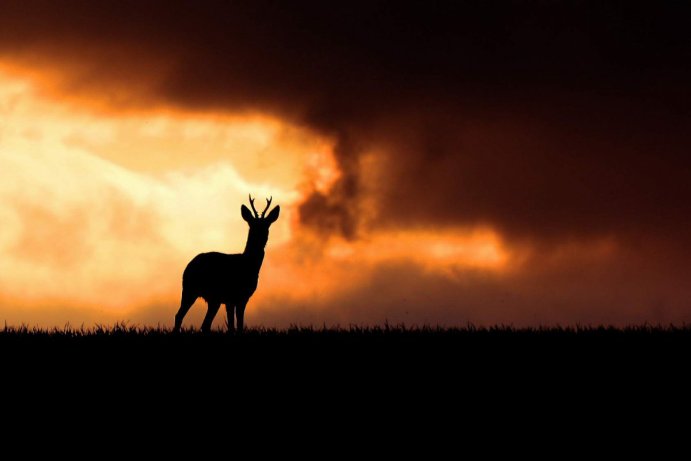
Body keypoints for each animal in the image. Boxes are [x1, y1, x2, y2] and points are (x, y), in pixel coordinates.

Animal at [174, 196, 280, 332]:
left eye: (267, 225)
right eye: (252, 225)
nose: (260, 237)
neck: (248, 264)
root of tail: (187, 267)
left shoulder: (242, 298)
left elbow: (238, 324)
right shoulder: (231, 297)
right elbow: (233, 326)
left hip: (213, 299)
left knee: (204, 324)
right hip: (190, 289)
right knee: (180, 316)